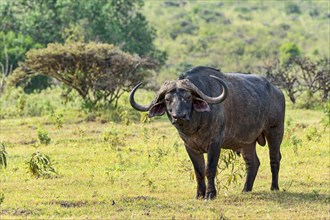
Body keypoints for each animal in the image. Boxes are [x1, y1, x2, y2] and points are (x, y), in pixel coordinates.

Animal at [130, 66, 284, 200]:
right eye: (168, 99)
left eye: (188, 97)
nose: (179, 116)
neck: (195, 126)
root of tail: (277, 91)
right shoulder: (190, 146)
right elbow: (198, 171)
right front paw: (199, 194)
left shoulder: (215, 143)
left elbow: (210, 169)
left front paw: (210, 194)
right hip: (247, 142)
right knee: (252, 163)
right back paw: (246, 189)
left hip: (275, 131)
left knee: (274, 158)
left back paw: (274, 187)